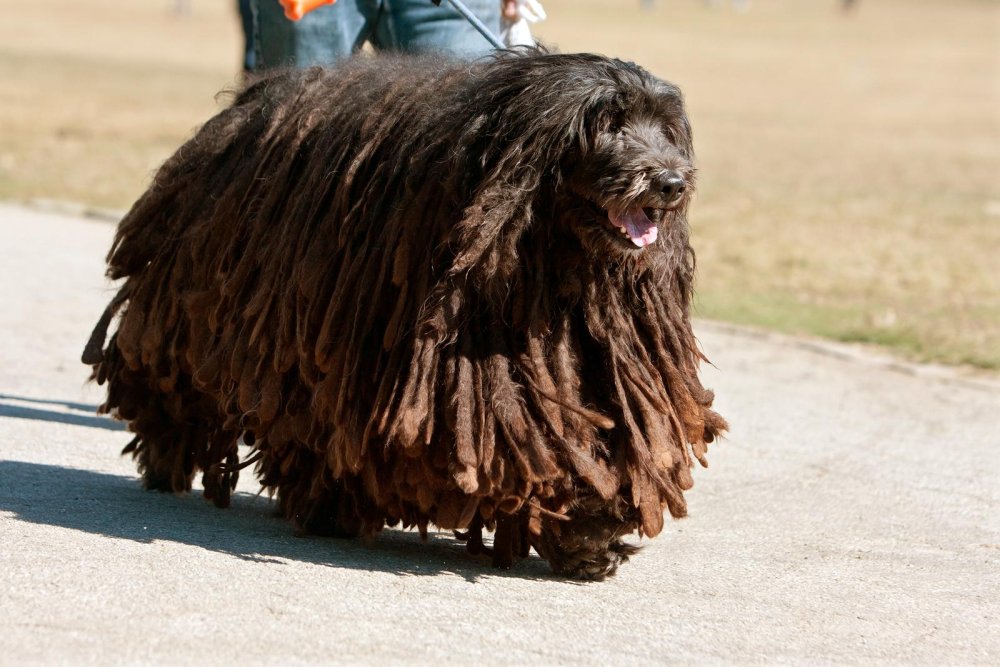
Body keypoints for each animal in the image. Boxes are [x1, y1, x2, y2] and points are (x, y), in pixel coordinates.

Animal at [84, 51, 728, 580]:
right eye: (605, 124)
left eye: (665, 128)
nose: (671, 181)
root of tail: (246, 106)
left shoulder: (591, 347)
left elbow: (595, 434)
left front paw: (591, 532)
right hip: (195, 305)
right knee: (177, 381)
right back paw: (170, 459)